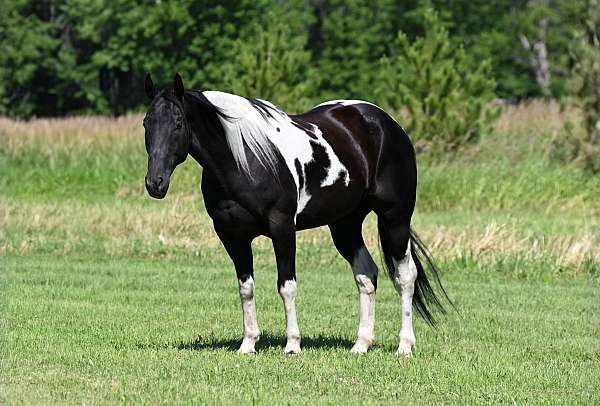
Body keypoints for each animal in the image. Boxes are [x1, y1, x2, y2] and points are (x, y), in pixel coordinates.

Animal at [143, 73, 448, 356]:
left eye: (178, 124)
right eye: (147, 124)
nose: (155, 183)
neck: (245, 161)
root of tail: (388, 124)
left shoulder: (283, 228)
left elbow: (286, 286)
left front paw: (292, 345)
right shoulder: (232, 236)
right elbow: (246, 288)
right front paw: (248, 344)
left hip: (395, 217)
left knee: (405, 276)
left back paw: (404, 346)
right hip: (345, 224)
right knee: (366, 274)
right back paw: (361, 344)